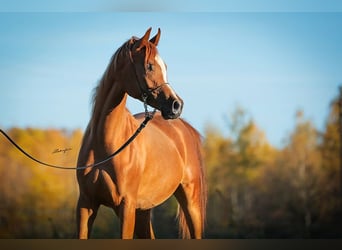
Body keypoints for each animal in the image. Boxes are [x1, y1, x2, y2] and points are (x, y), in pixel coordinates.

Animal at [76, 26, 207, 238]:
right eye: (150, 66)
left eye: (165, 67)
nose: (177, 105)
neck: (105, 146)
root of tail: (183, 128)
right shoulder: (86, 205)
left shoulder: (126, 206)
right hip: (143, 210)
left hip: (190, 201)